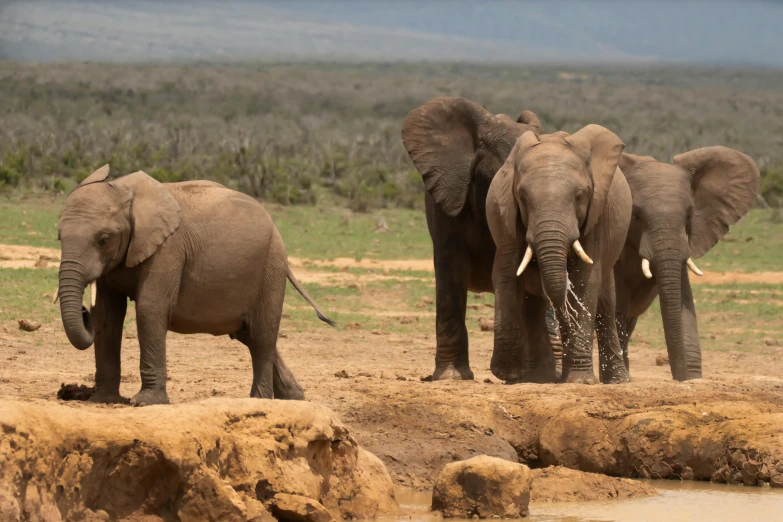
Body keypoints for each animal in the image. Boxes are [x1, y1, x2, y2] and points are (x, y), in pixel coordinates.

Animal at [55, 165, 334, 404]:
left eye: (104, 238)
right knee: (249, 335)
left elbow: (149, 309)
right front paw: (103, 400)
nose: (83, 310)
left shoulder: (168, 249)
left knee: (263, 335)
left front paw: (144, 403)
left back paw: (259, 401)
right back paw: (294, 397)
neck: (125, 190)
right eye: (58, 236)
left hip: (271, 267)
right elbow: (107, 315)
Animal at [486, 123, 632, 380]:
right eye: (522, 197)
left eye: (580, 196)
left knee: (606, 304)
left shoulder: (596, 215)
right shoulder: (506, 217)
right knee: (533, 305)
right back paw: (539, 378)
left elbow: (584, 280)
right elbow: (506, 272)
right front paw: (507, 373)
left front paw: (581, 380)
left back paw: (616, 381)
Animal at [608, 146, 764, 378]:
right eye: (635, 215)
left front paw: (691, 377)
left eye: (690, 216)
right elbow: (616, 305)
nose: (681, 377)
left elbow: (684, 303)